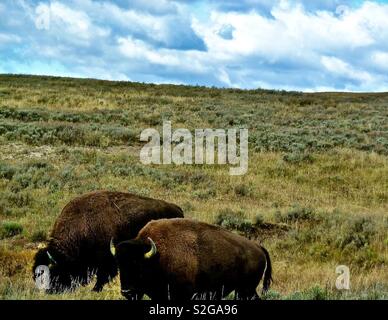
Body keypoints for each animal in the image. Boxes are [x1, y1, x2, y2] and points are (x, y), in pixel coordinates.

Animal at [32, 190, 183, 292]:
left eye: (52, 272)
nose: (48, 291)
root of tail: (178, 209)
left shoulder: (106, 259)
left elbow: (103, 276)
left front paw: (95, 289)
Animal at [110, 218, 272, 300]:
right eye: (119, 265)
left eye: (138, 265)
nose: (127, 291)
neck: (157, 256)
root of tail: (258, 247)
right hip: (244, 290)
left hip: (247, 289)